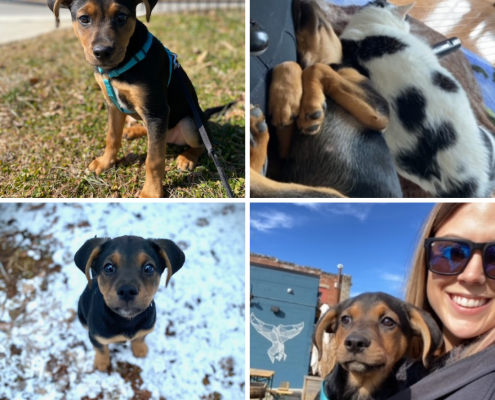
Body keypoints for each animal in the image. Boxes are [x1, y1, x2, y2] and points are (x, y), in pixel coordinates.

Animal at [48, 0, 213, 197]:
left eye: (121, 16)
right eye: (84, 18)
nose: (102, 52)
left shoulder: (156, 111)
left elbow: (154, 159)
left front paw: (151, 192)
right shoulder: (113, 105)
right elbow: (112, 137)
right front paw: (106, 162)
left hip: (189, 122)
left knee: (203, 145)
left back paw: (187, 157)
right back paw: (133, 131)